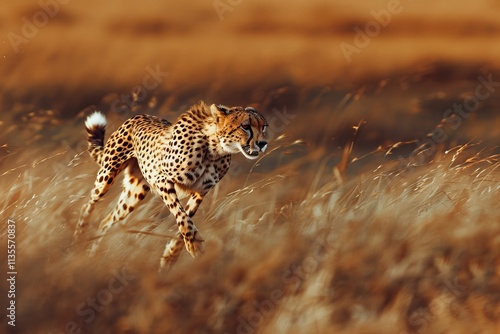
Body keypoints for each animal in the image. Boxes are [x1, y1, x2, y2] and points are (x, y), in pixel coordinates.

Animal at [73, 100, 270, 270]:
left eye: (263, 126)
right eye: (245, 126)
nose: (263, 143)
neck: (214, 148)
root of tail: (136, 116)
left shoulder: (200, 192)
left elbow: (186, 218)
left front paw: (171, 255)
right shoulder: (161, 179)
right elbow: (181, 216)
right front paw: (193, 245)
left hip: (135, 192)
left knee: (106, 221)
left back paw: (93, 252)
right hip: (107, 175)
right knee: (87, 205)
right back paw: (79, 238)